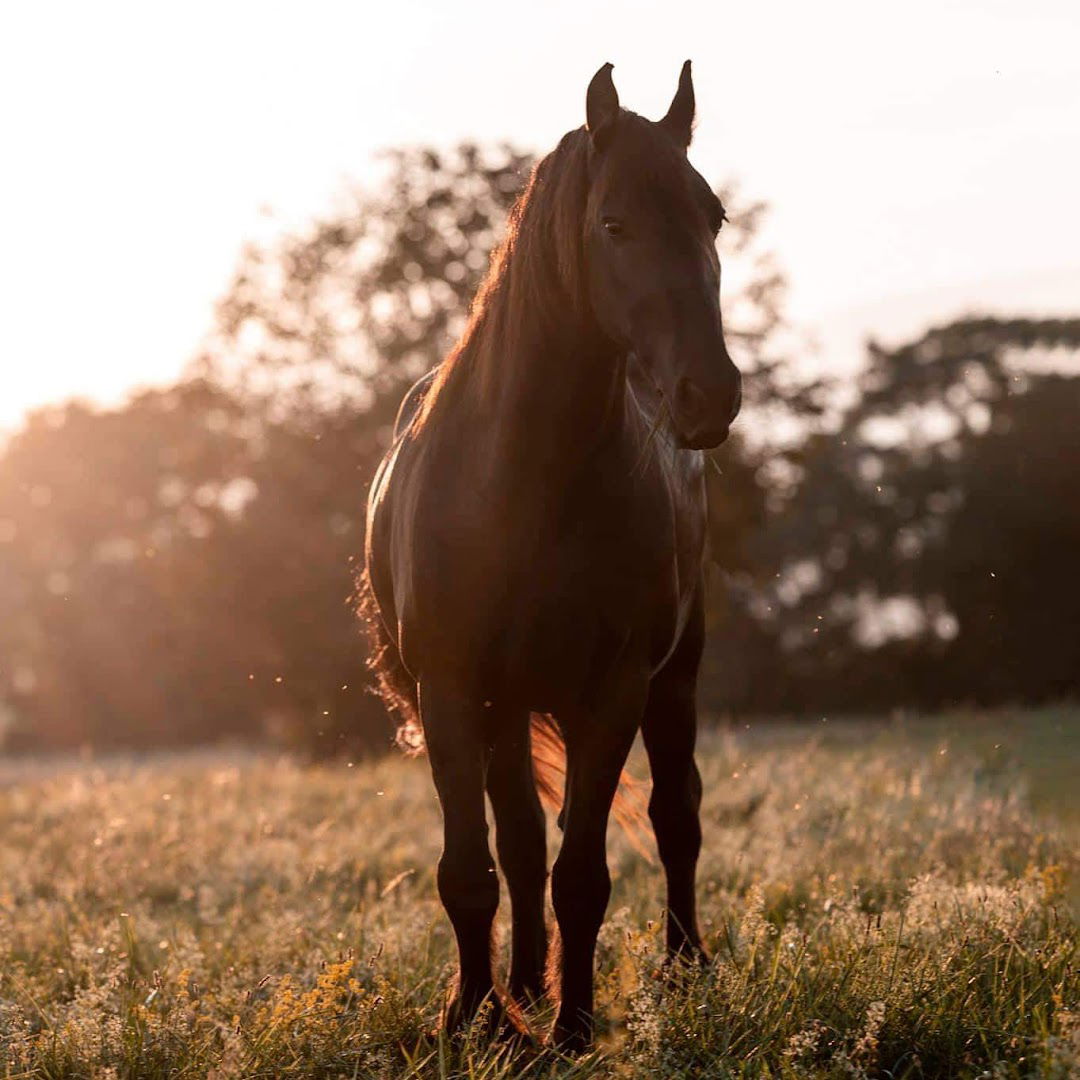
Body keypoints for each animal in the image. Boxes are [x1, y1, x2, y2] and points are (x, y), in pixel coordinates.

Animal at [362, 61, 743, 1054]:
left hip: (674, 679)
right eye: (613, 223)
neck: (525, 479)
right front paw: (474, 1021)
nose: (710, 394)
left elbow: (585, 873)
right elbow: (474, 868)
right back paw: (523, 988)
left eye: (714, 216)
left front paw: (574, 1030)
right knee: (521, 840)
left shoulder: (610, 693)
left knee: (674, 814)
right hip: (503, 709)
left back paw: (679, 969)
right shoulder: (454, 691)